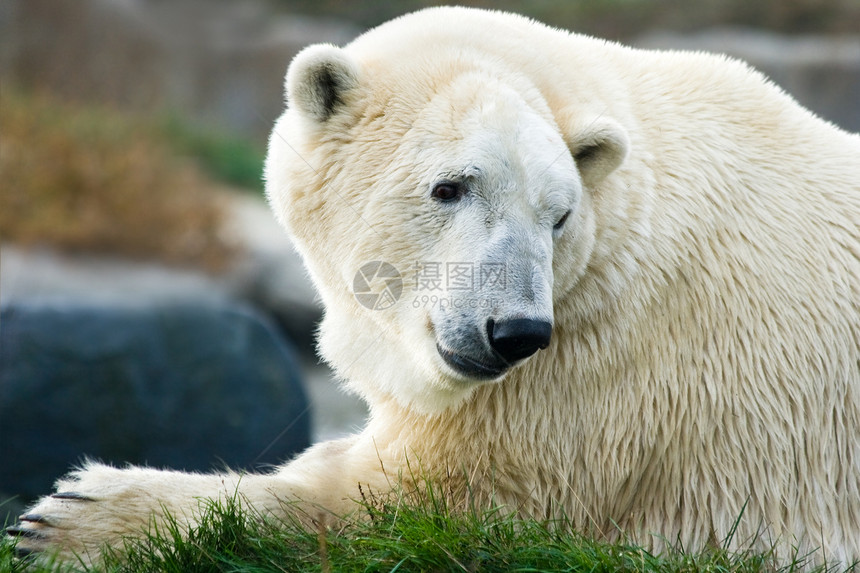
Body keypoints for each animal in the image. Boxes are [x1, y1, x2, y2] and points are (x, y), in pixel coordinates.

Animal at [8, 5, 860, 568]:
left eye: (557, 216)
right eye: (450, 187)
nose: (514, 331)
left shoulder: (593, 387)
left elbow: (405, 502)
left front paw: (70, 517)